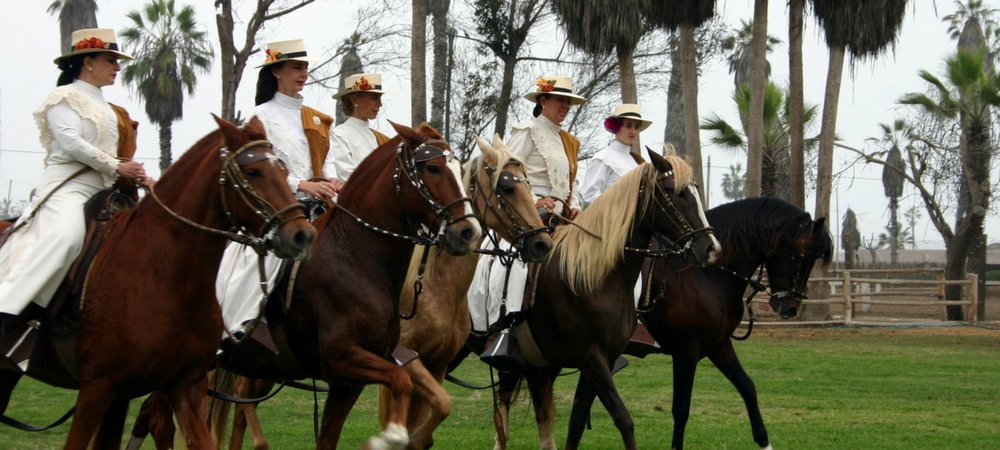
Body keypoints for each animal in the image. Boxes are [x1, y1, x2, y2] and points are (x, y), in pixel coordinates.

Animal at [0, 117, 316, 450]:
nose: (302, 235)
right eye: (253, 171)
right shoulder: (98, 388)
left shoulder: (184, 386)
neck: (165, 275)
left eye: (283, 172)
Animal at [490, 150, 720, 450]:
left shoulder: (601, 361)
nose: (711, 248)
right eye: (678, 193)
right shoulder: (592, 358)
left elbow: (577, 421)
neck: (592, 276)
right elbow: (623, 419)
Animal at [632, 197, 836, 450]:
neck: (706, 275)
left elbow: (747, 387)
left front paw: (764, 442)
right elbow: (681, 409)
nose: (791, 307)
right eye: (802, 256)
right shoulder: (686, 352)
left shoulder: (719, 345)